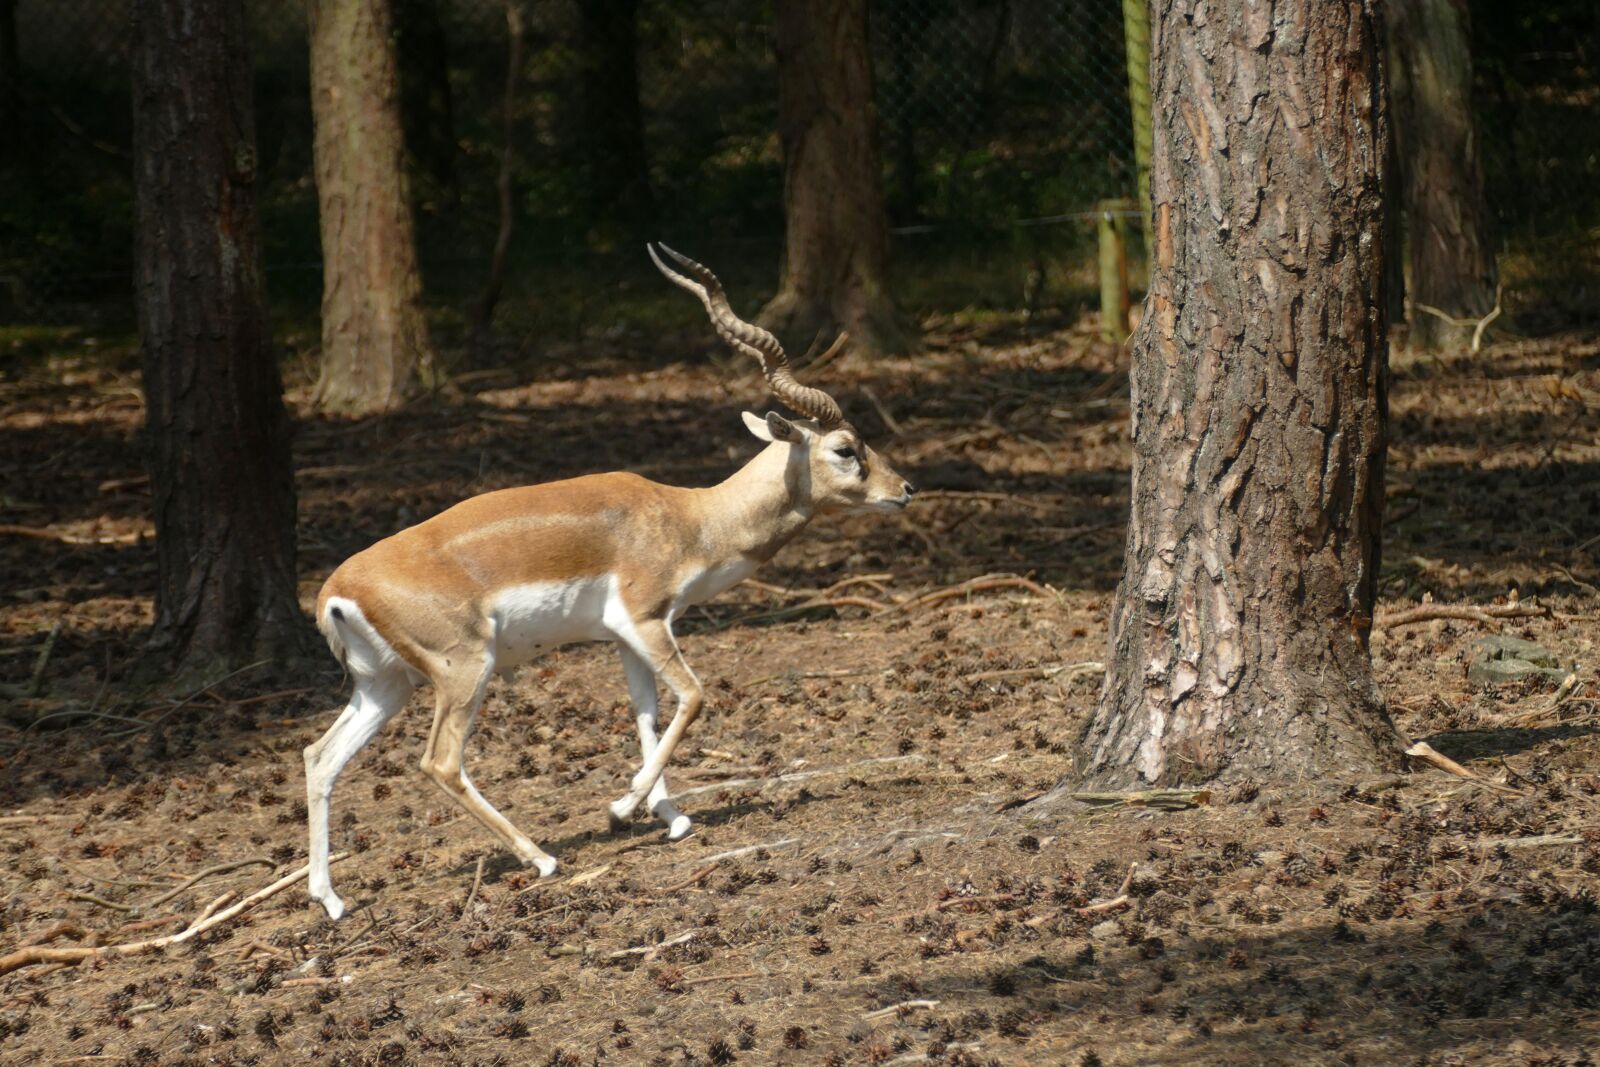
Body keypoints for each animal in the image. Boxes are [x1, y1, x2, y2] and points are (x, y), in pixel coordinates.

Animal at [301, 245, 915, 919]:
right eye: (846, 448)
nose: (905, 489)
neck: (693, 519)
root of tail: (335, 589)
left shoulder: (623, 638)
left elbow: (647, 715)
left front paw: (668, 815)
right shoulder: (647, 619)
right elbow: (694, 696)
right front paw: (623, 806)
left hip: (384, 686)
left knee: (319, 758)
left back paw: (330, 899)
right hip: (463, 669)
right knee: (439, 762)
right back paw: (541, 858)